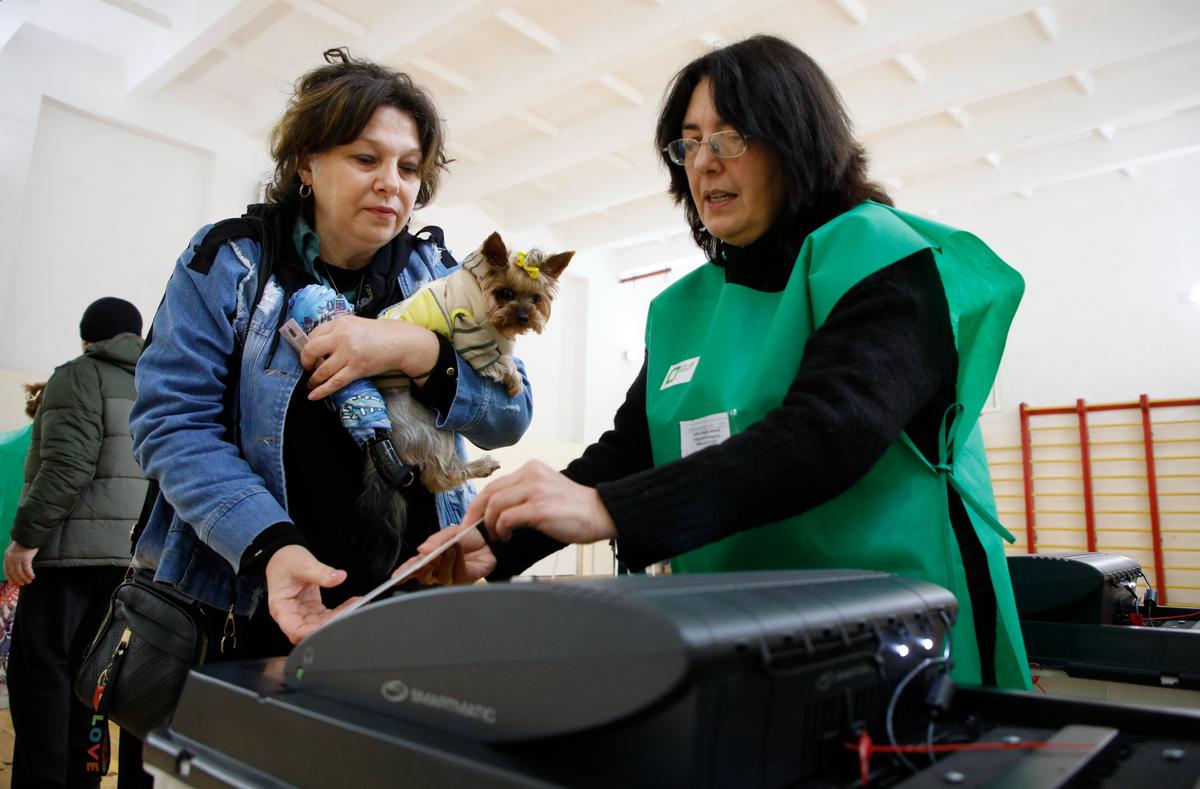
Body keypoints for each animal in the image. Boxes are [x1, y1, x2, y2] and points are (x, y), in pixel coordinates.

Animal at [360, 231, 571, 534]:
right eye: (505, 293)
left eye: (536, 298)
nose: (523, 317)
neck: (480, 290)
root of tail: (382, 431)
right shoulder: (469, 333)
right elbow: (497, 361)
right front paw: (513, 380)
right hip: (431, 431)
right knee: (440, 477)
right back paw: (482, 466)